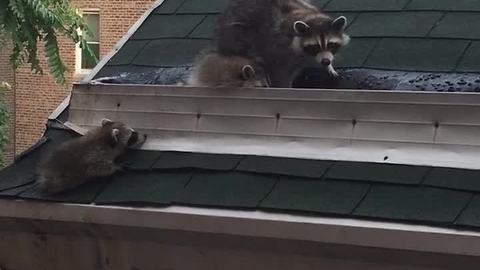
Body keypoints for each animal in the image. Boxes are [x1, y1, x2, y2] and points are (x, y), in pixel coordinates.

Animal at [217, 0, 348, 87]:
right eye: (314, 46)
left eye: (331, 44)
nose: (326, 62)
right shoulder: (279, 48)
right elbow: (280, 73)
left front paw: (330, 67)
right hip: (237, 36)